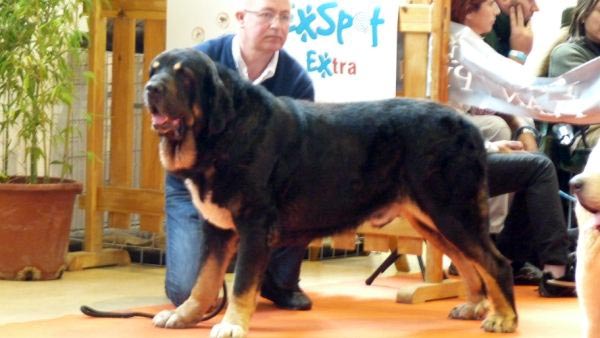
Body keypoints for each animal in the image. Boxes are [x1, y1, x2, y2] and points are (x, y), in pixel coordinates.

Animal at [144, 48, 516, 338]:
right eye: (155, 69)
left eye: (184, 75)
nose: (150, 88)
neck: (225, 132)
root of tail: (469, 126)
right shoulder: (218, 228)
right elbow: (204, 280)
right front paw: (185, 315)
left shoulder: (254, 226)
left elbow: (240, 285)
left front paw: (232, 324)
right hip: (432, 221)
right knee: (469, 263)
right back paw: (474, 306)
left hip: (452, 212)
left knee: (495, 262)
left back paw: (504, 317)